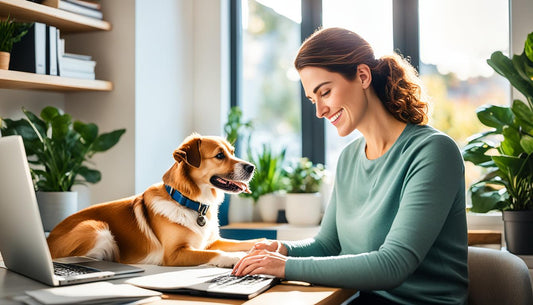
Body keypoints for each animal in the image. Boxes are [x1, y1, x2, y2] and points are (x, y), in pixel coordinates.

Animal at [47, 134, 260, 266]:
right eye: (219, 155)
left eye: (232, 152)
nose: (252, 167)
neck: (191, 203)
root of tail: (48, 238)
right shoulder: (175, 254)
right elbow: (216, 253)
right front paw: (236, 257)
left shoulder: (211, 241)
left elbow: (239, 241)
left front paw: (261, 242)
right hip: (96, 227)